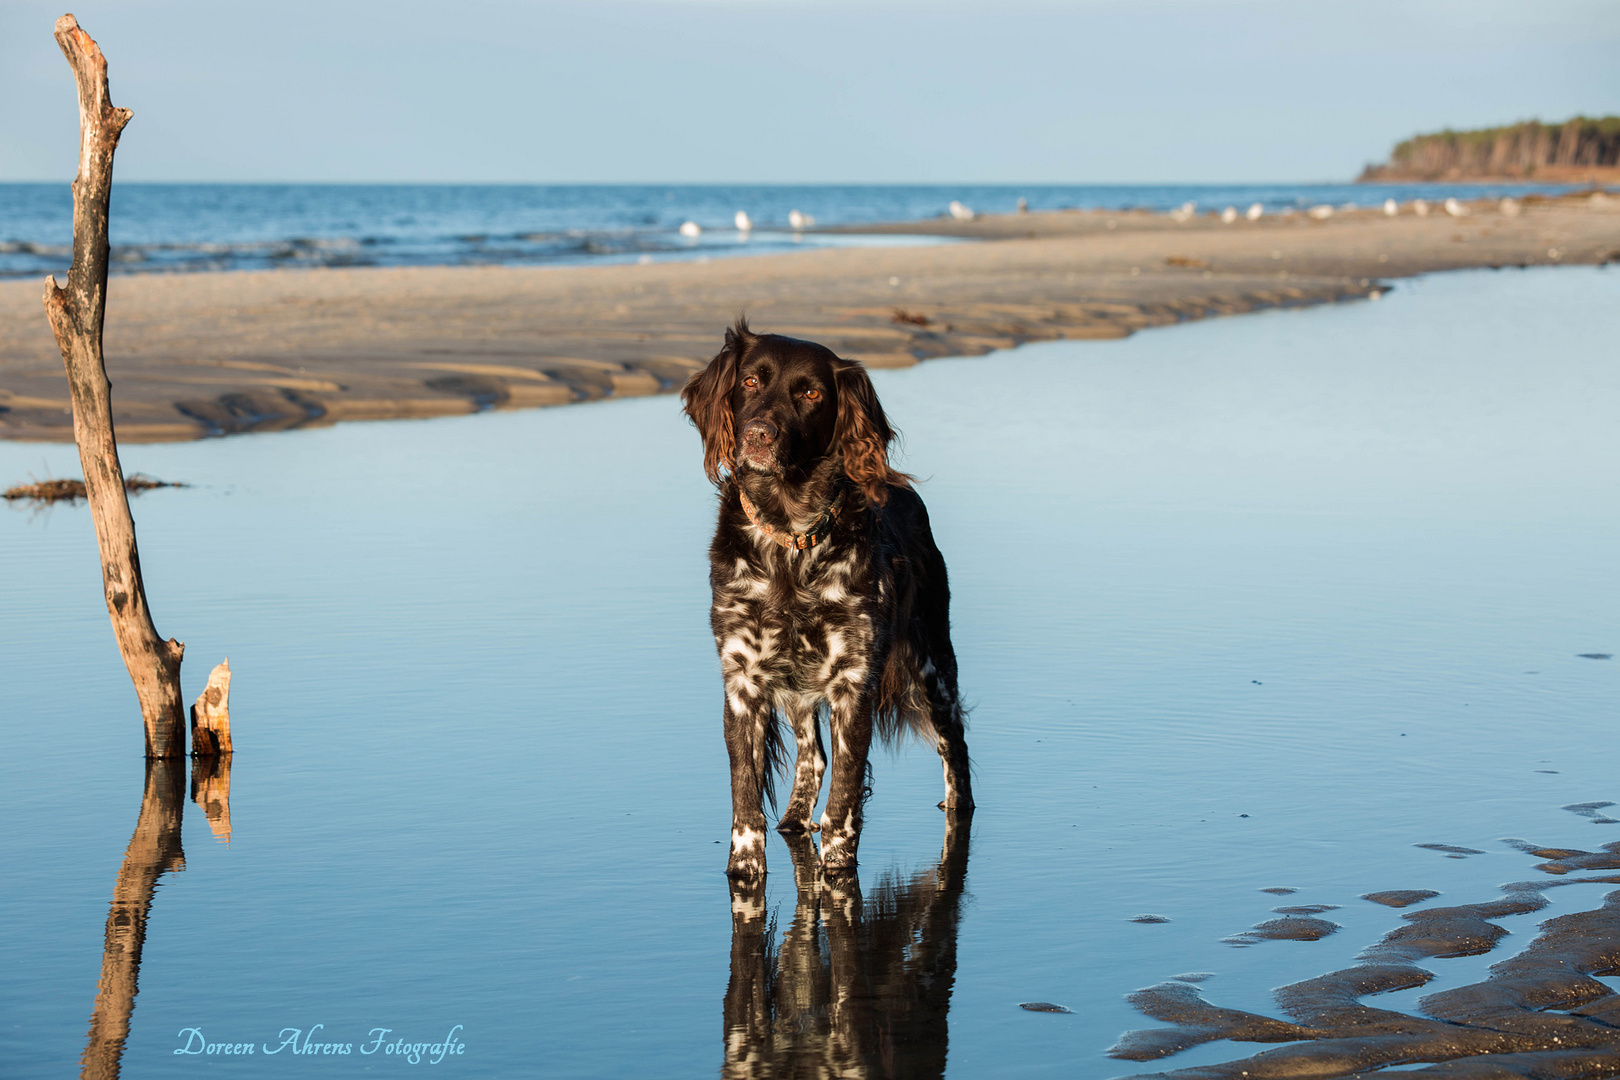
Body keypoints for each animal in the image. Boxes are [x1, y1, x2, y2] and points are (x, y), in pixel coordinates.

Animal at [677, 318, 965, 880]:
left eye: (810, 394)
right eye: (750, 381)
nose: (758, 435)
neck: (790, 539)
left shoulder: (854, 683)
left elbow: (846, 794)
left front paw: (837, 868)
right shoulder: (744, 681)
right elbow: (746, 792)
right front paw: (744, 865)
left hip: (932, 667)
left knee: (955, 745)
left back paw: (959, 811)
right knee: (813, 757)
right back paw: (793, 820)